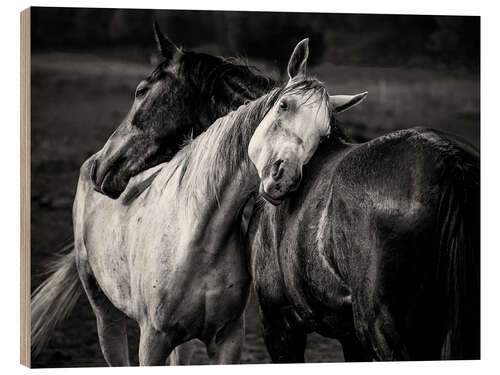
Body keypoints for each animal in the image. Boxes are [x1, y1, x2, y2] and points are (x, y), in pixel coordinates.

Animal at [249, 71, 480, 362]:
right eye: (283, 105)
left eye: (323, 132)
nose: (284, 178)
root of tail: (448, 159)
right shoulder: (350, 336)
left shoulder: (279, 326)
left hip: (382, 329)